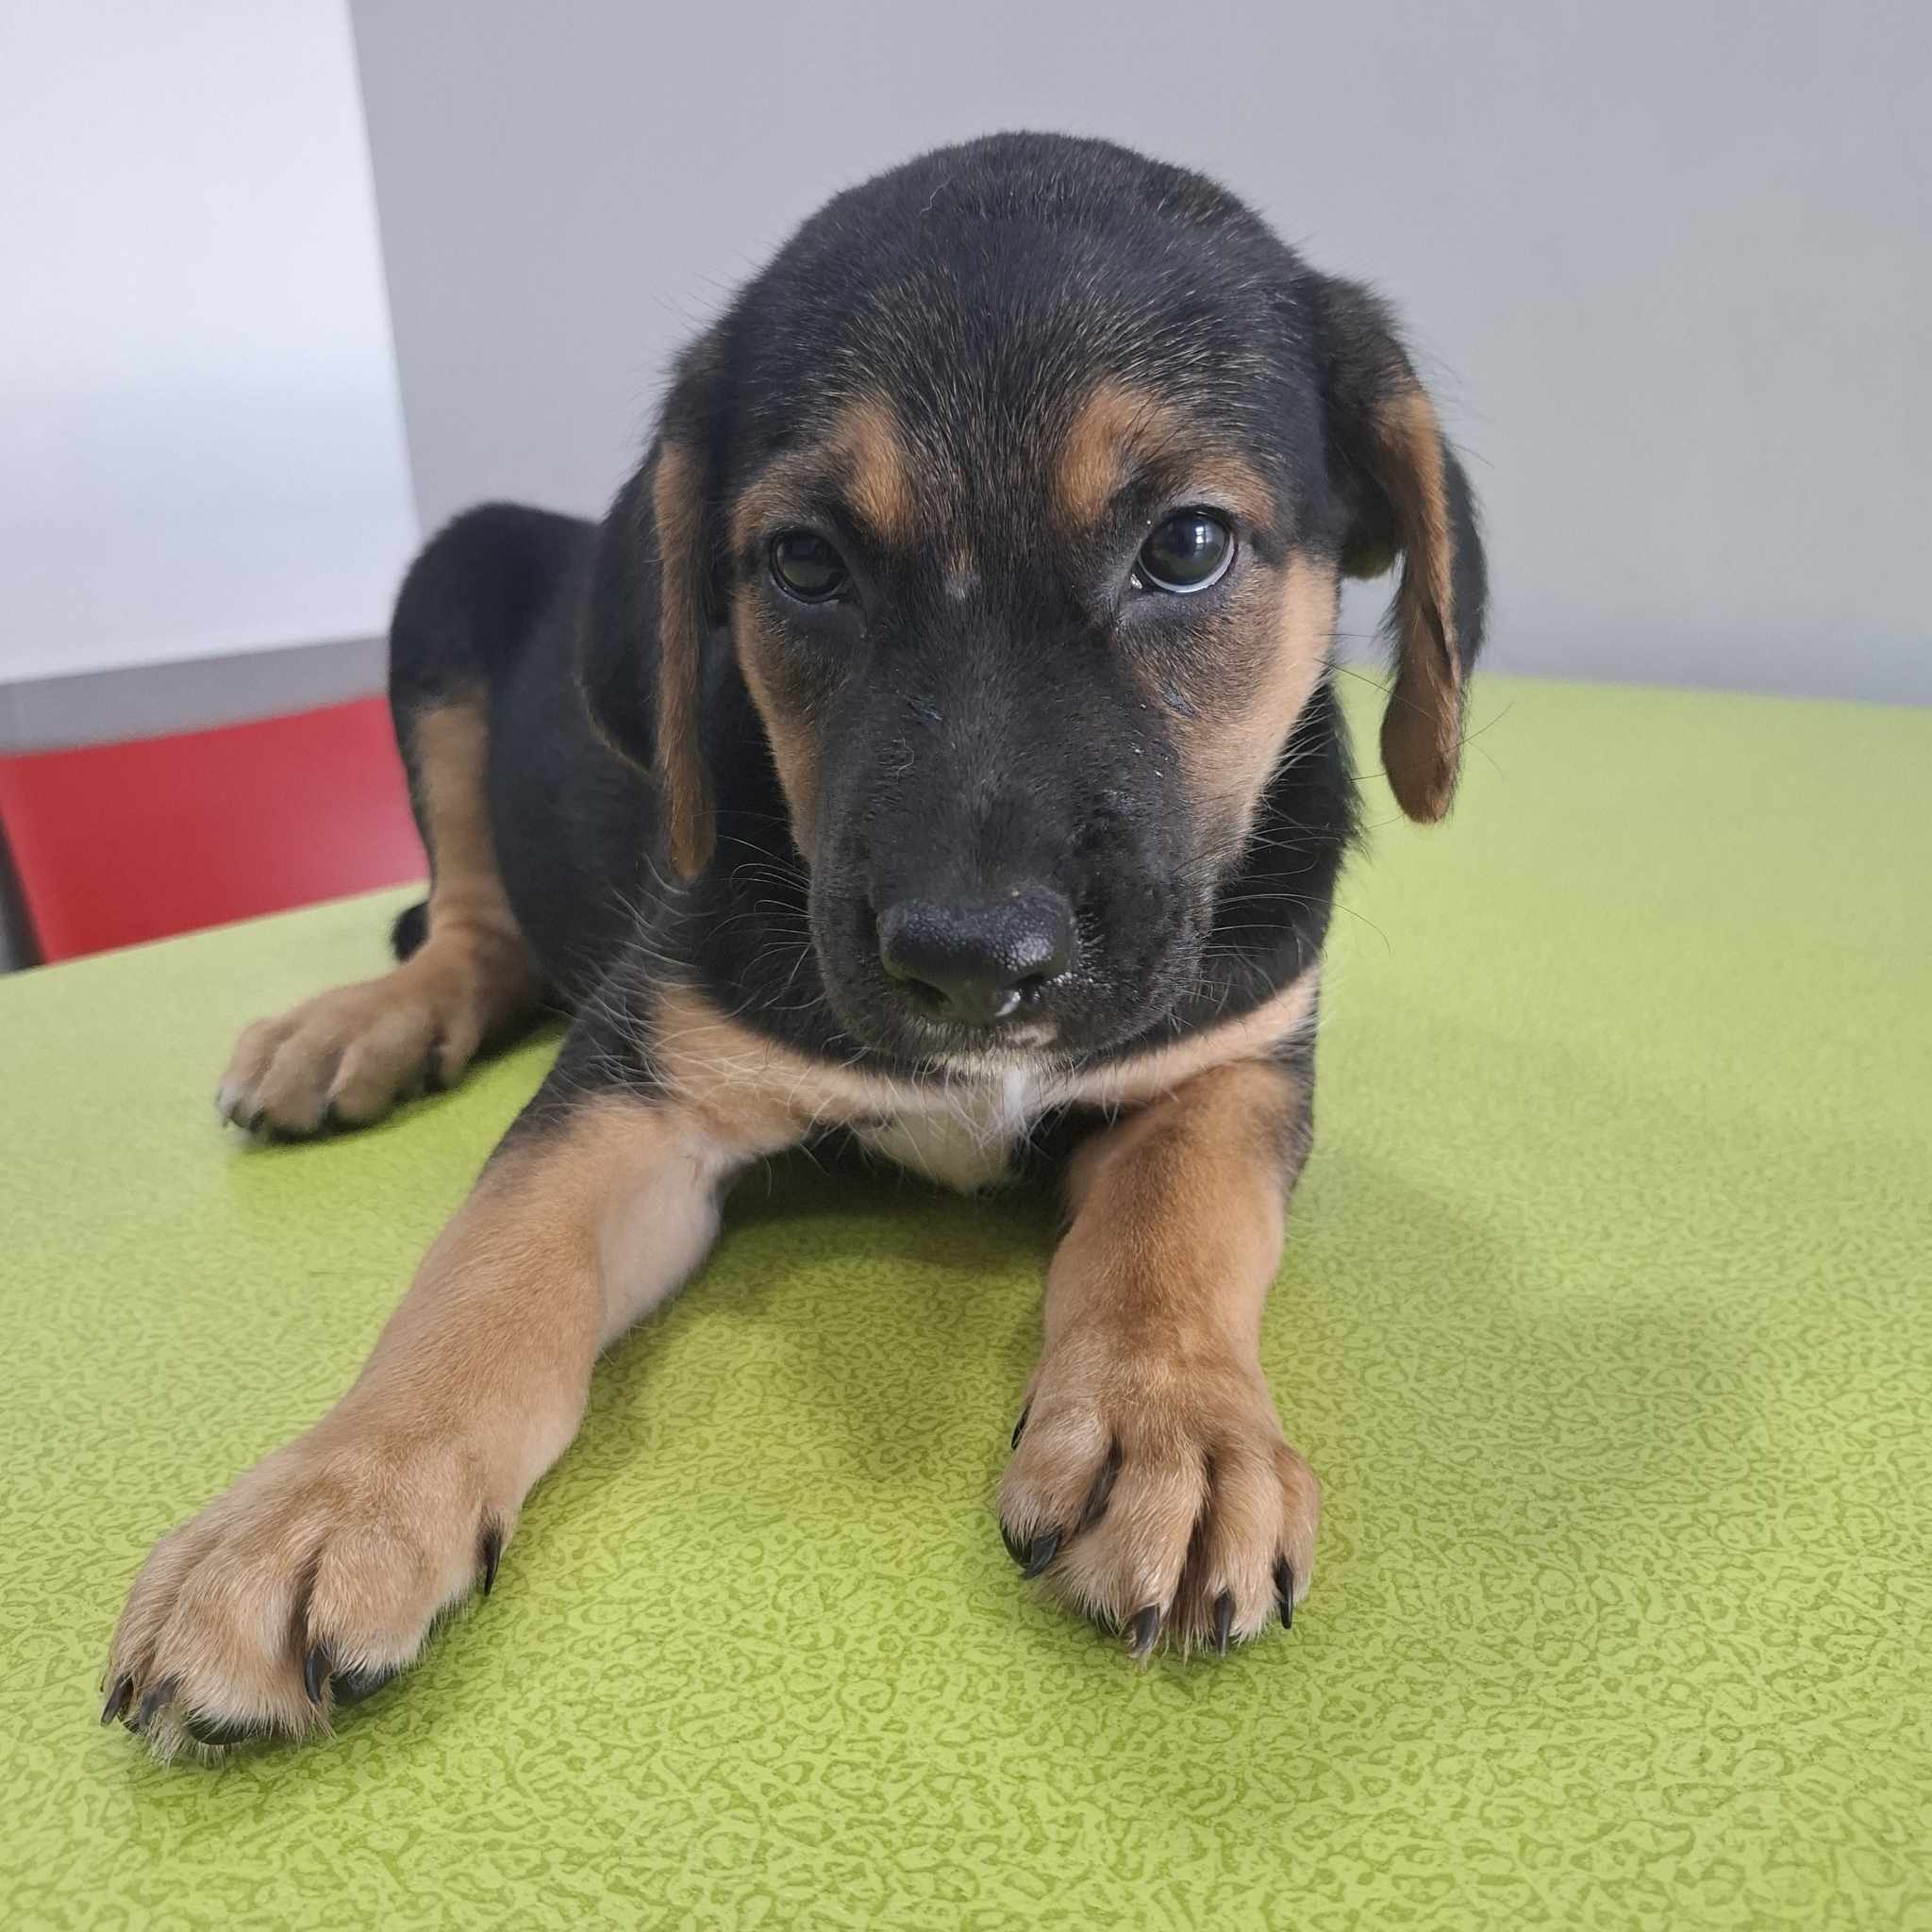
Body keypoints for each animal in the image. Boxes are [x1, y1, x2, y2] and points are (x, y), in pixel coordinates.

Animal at [102, 132, 1486, 1751]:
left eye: (1190, 546)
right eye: (807, 565)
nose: (972, 963)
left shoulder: (1235, 1063)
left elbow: (1178, 1235)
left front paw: (1175, 1430)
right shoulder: (639, 1087)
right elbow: (486, 1281)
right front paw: (320, 1509)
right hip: (446, 591)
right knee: (471, 922)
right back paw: (359, 1026)